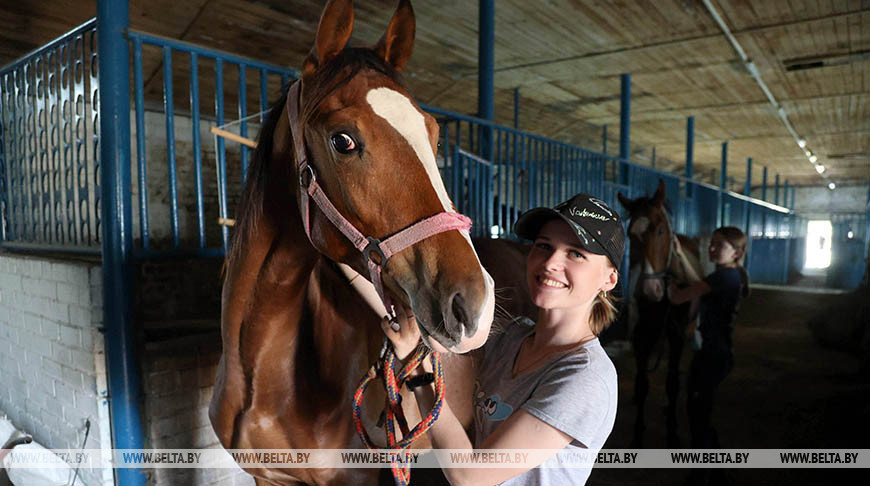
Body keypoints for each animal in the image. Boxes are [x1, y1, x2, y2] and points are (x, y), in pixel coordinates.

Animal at [616, 179, 704, 448]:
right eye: (631, 235)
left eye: (661, 230)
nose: (649, 290)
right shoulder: (643, 334)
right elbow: (643, 383)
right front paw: (637, 434)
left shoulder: (677, 335)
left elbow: (673, 382)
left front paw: (673, 431)